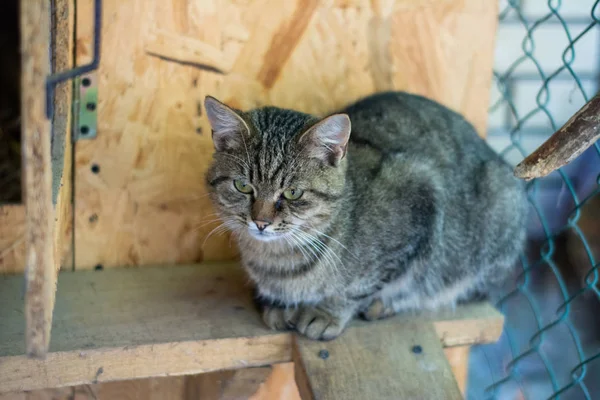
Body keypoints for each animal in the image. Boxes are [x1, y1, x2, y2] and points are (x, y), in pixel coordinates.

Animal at [204, 91, 528, 340]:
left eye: (293, 193)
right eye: (243, 186)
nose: (260, 222)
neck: (277, 261)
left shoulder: (421, 195)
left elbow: (362, 286)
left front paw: (327, 312)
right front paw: (279, 305)